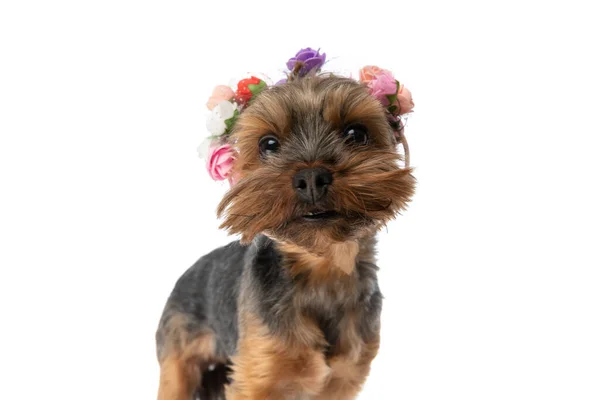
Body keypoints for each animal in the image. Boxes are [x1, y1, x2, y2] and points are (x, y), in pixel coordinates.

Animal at [157, 61, 414, 398]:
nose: (311, 178)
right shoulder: (256, 375)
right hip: (178, 358)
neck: (322, 270)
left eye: (356, 133)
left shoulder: (343, 380)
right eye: (268, 144)